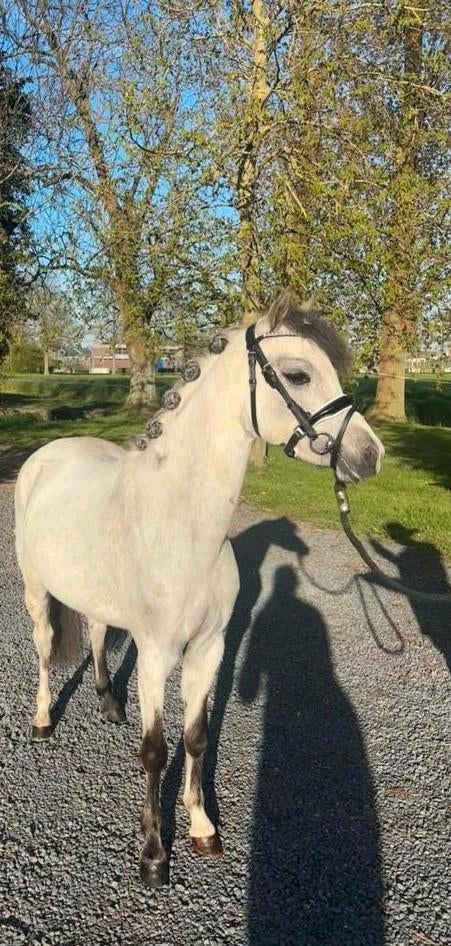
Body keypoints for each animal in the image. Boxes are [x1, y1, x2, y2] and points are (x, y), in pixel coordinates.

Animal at [14, 289, 384, 887]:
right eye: (298, 374)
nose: (370, 455)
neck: (183, 526)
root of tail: (49, 454)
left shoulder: (209, 649)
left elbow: (195, 738)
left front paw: (203, 829)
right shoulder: (156, 655)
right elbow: (155, 751)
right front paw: (153, 855)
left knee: (95, 630)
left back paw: (108, 703)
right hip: (35, 590)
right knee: (47, 649)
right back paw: (44, 721)